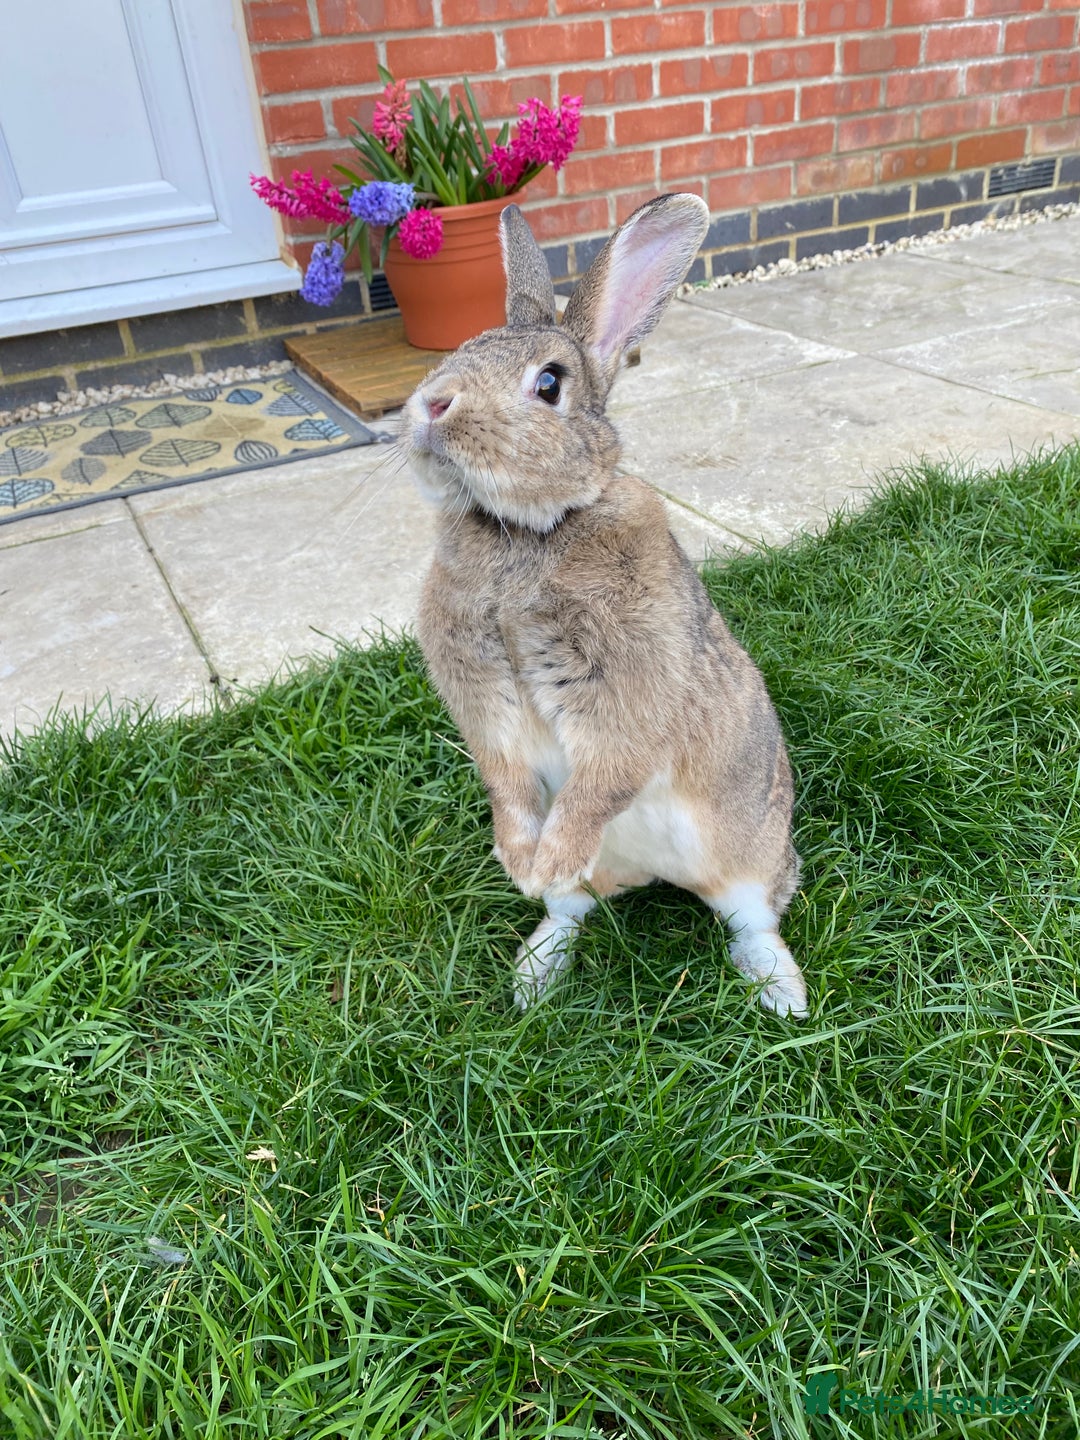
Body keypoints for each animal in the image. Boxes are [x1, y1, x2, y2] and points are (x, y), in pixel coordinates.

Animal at [402, 192, 808, 1019]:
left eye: (549, 384)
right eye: (462, 347)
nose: (432, 404)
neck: (529, 529)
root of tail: (656, 876)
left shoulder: (629, 698)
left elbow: (601, 781)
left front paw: (545, 856)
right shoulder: (484, 709)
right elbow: (505, 778)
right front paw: (520, 862)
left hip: (749, 855)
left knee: (751, 918)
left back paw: (783, 995)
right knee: (574, 913)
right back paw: (535, 968)